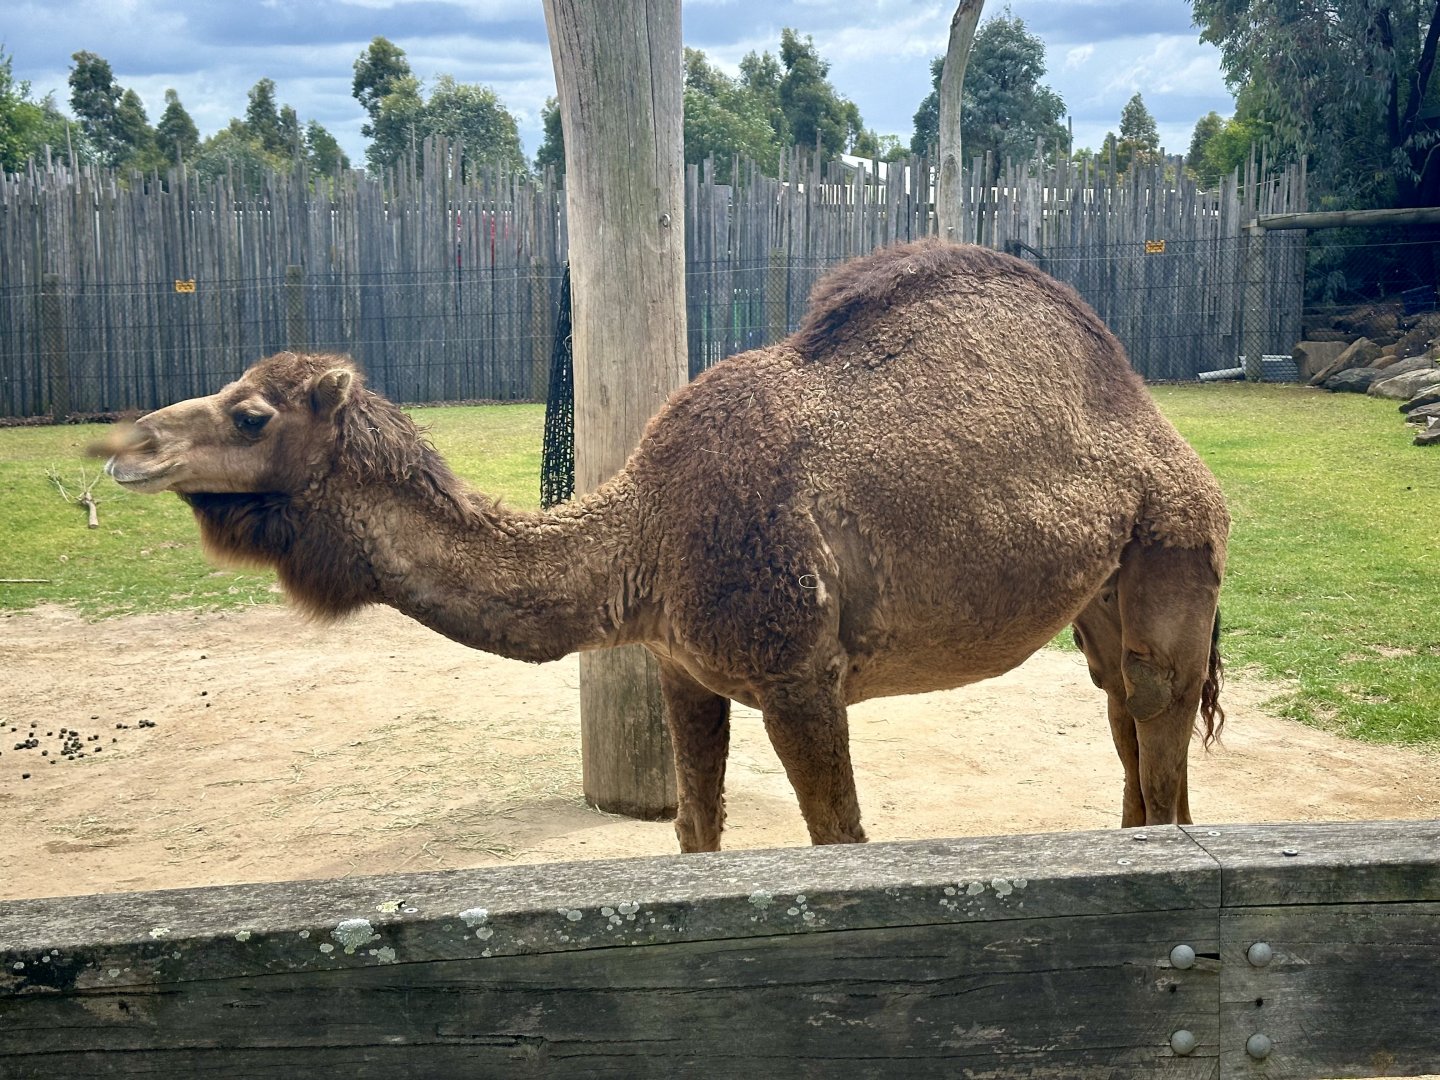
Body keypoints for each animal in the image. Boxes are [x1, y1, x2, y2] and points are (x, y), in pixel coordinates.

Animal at [96, 239, 1229, 852]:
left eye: (250, 414)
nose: (129, 447)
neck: (641, 537)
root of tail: (1164, 436)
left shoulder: (800, 676)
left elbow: (840, 839)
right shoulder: (685, 669)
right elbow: (696, 831)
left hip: (1175, 555)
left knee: (1166, 752)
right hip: (1099, 604)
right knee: (1126, 731)